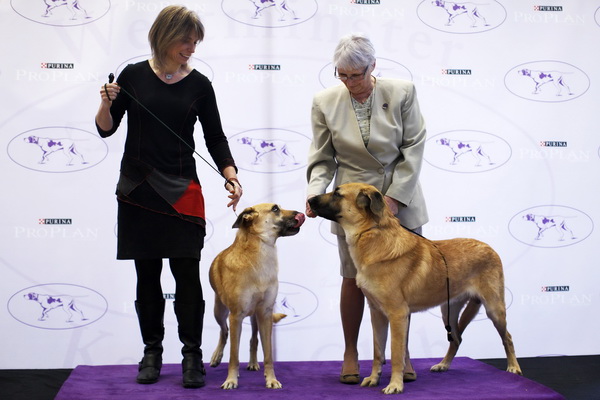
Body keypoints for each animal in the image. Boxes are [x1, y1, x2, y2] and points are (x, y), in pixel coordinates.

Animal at [210, 203, 304, 388]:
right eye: (275, 209)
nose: (301, 213)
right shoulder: (236, 316)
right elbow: (233, 355)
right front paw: (231, 380)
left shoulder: (265, 313)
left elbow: (268, 354)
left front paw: (271, 379)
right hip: (220, 311)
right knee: (224, 332)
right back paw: (216, 357)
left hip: (255, 317)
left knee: (253, 340)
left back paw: (253, 363)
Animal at [310, 184, 520, 394]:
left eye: (337, 194)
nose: (310, 200)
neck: (371, 233)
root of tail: (489, 247)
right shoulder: (377, 313)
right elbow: (378, 352)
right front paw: (374, 378)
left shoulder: (397, 314)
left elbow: (395, 353)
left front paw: (395, 384)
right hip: (448, 311)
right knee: (456, 339)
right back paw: (443, 365)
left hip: (494, 309)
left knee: (507, 337)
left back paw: (513, 367)